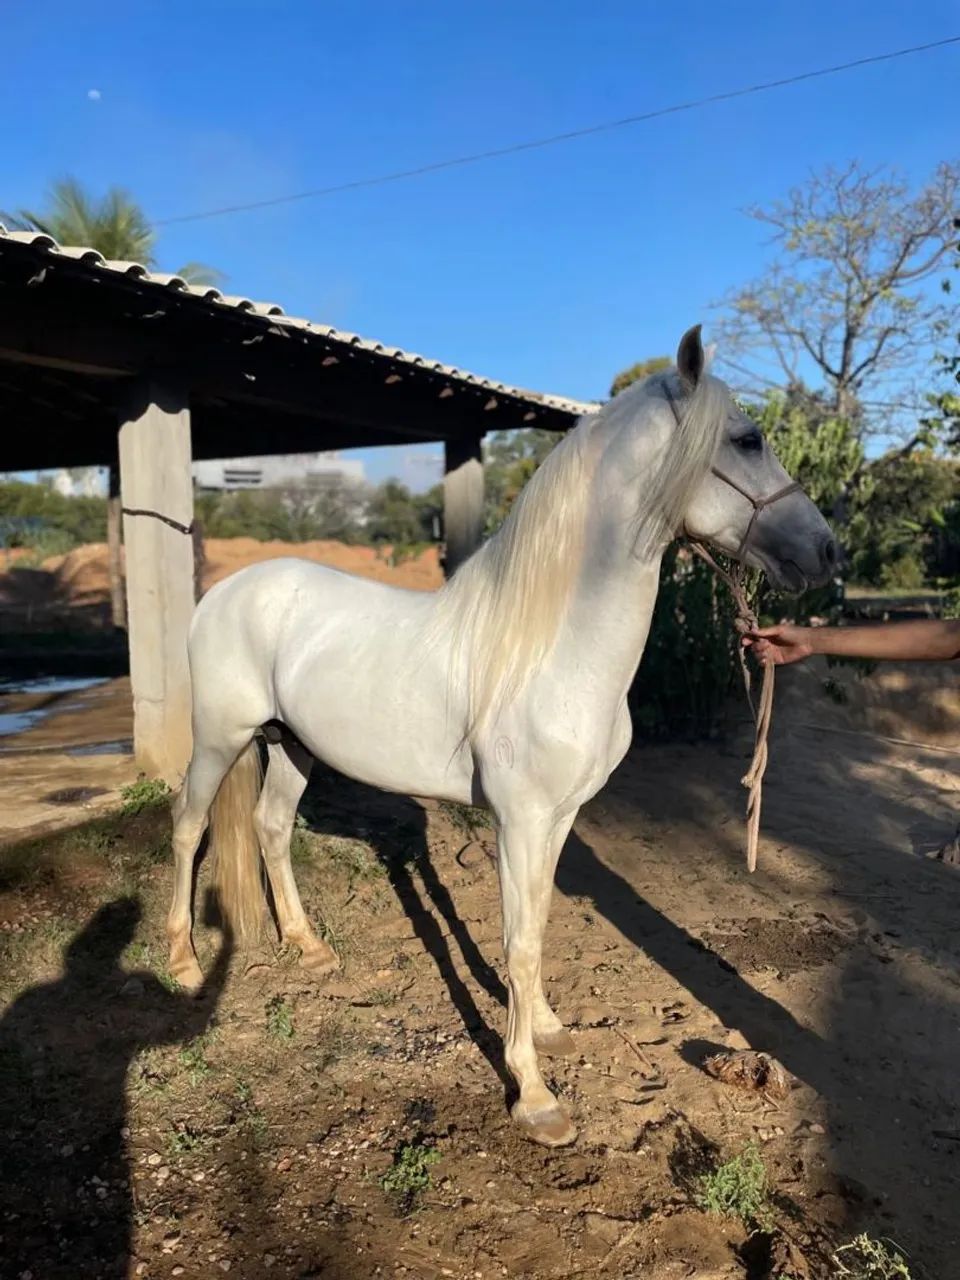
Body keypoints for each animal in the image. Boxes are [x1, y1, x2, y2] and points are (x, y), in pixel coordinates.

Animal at [168, 324, 836, 1147]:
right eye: (747, 439)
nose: (828, 551)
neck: (553, 646)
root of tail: (224, 592)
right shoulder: (518, 820)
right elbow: (517, 941)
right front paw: (534, 1096)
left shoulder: (561, 817)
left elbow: (539, 924)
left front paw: (545, 1027)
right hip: (218, 738)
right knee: (188, 826)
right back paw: (184, 964)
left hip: (289, 744)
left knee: (270, 828)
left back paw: (310, 948)